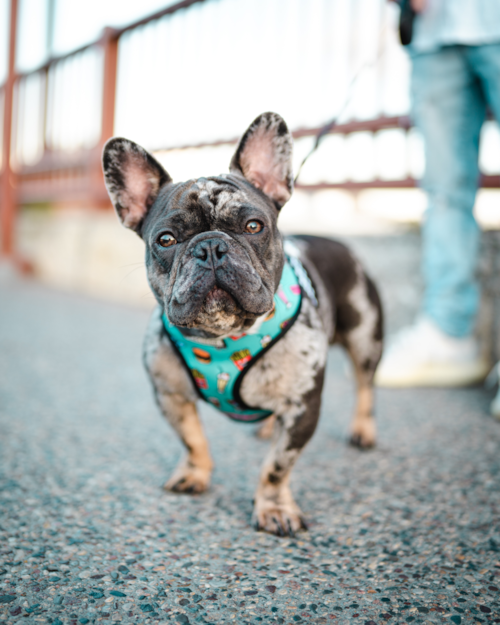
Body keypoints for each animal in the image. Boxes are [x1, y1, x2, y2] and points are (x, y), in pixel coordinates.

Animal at [101, 112, 382, 536]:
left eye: (253, 226)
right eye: (165, 239)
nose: (210, 246)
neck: (222, 340)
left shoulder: (302, 408)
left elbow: (277, 466)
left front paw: (274, 507)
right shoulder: (170, 395)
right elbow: (192, 440)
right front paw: (194, 474)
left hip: (366, 337)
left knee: (365, 385)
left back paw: (363, 429)